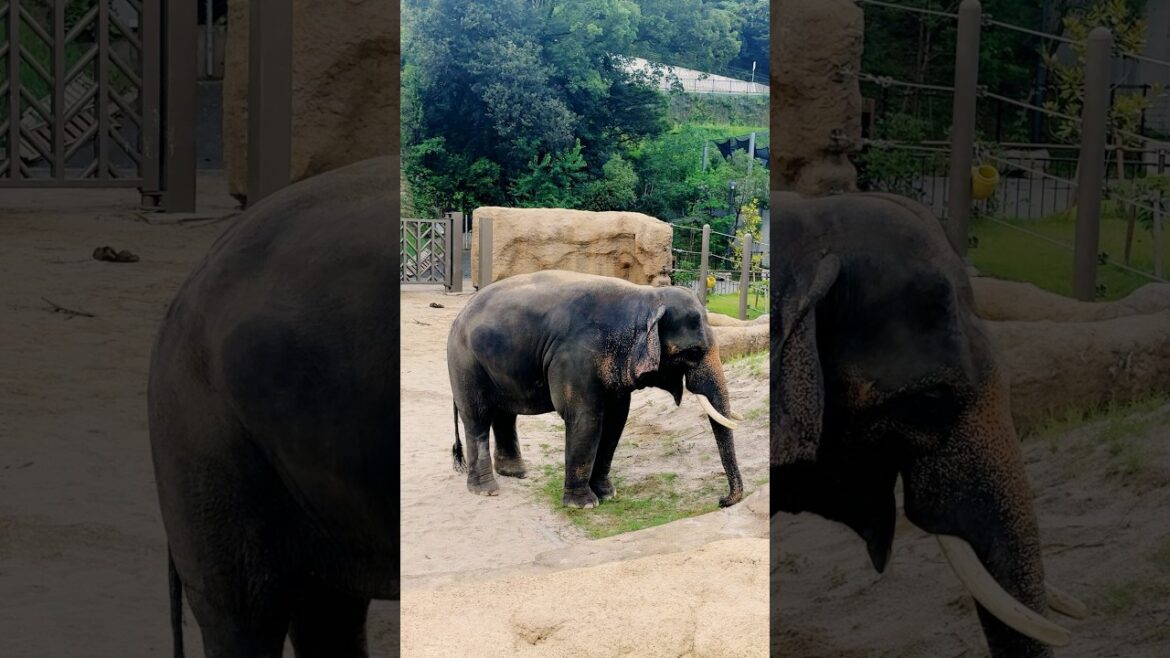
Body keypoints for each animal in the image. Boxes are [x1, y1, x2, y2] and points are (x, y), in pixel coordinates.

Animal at [447, 270, 745, 509]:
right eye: (693, 352)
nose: (721, 501)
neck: (646, 298)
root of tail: (460, 314)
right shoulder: (578, 357)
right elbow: (586, 419)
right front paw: (584, 505)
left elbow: (616, 421)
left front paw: (607, 494)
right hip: (465, 362)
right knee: (477, 417)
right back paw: (486, 491)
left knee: (505, 414)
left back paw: (517, 473)